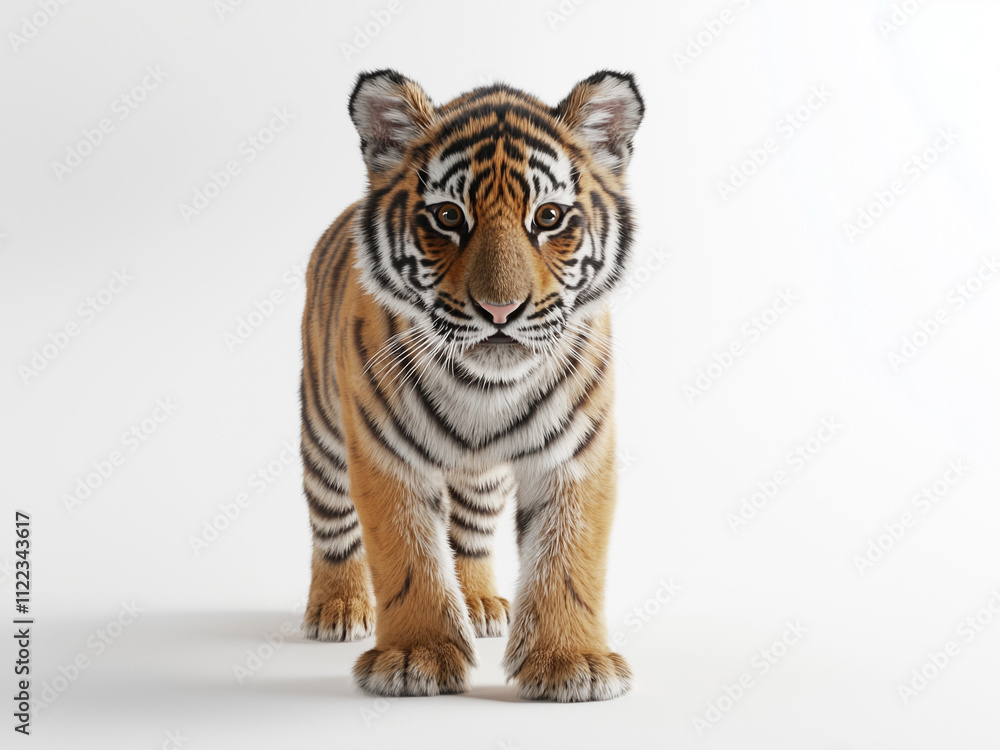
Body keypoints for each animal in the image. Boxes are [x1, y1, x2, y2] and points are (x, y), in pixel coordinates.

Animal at [298, 69, 643, 702]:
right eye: (449, 217)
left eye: (549, 217)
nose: (500, 311)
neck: (484, 389)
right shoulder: (386, 456)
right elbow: (408, 557)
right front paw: (416, 657)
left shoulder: (575, 454)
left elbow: (568, 557)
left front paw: (572, 663)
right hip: (323, 434)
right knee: (332, 527)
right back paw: (337, 608)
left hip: (483, 483)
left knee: (473, 534)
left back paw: (481, 601)